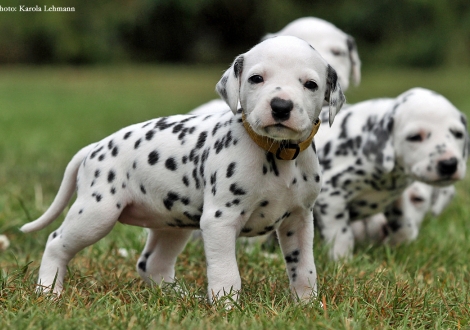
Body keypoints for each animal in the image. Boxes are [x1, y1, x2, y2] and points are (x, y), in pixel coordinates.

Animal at [20, 35, 346, 302]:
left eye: (310, 84)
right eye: (256, 78)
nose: (280, 106)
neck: (277, 154)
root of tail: (95, 147)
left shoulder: (299, 221)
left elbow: (304, 269)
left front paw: (307, 305)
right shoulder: (219, 221)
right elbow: (226, 273)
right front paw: (226, 308)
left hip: (171, 225)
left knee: (153, 264)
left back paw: (180, 296)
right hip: (96, 213)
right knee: (56, 243)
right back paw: (48, 290)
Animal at [314, 87, 468, 260]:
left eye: (458, 134)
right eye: (414, 137)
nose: (449, 164)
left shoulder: (396, 198)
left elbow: (404, 227)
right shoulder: (330, 195)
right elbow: (340, 236)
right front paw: (342, 260)